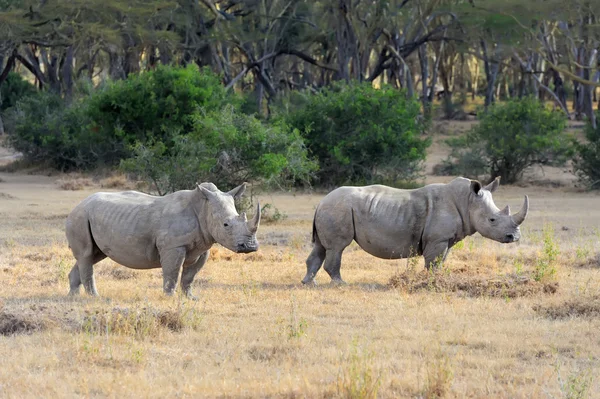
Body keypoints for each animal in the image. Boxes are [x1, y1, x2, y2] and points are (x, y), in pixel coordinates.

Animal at [67, 183, 258, 298]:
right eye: (226, 225)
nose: (250, 246)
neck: (203, 208)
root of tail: (78, 205)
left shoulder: (203, 246)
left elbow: (190, 276)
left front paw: (191, 298)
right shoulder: (173, 246)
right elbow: (172, 272)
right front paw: (169, 297)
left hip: (90, 217)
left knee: (93, 255)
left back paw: (73, 297)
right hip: (80, 217)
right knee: (86, 255)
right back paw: (95, 298)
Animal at [302, 177, 528, 284]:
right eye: (492, 220)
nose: (514, 237)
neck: (467, 201)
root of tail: (321, 202)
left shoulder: (446, 239)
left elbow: (441, 261)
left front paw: (437, 280)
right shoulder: (437, 239)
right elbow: (433, 262)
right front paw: (429, 283)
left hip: (331, 209)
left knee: (321, 247)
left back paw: (309, 283)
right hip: (338, 209)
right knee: (337, 247)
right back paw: (341, 283)